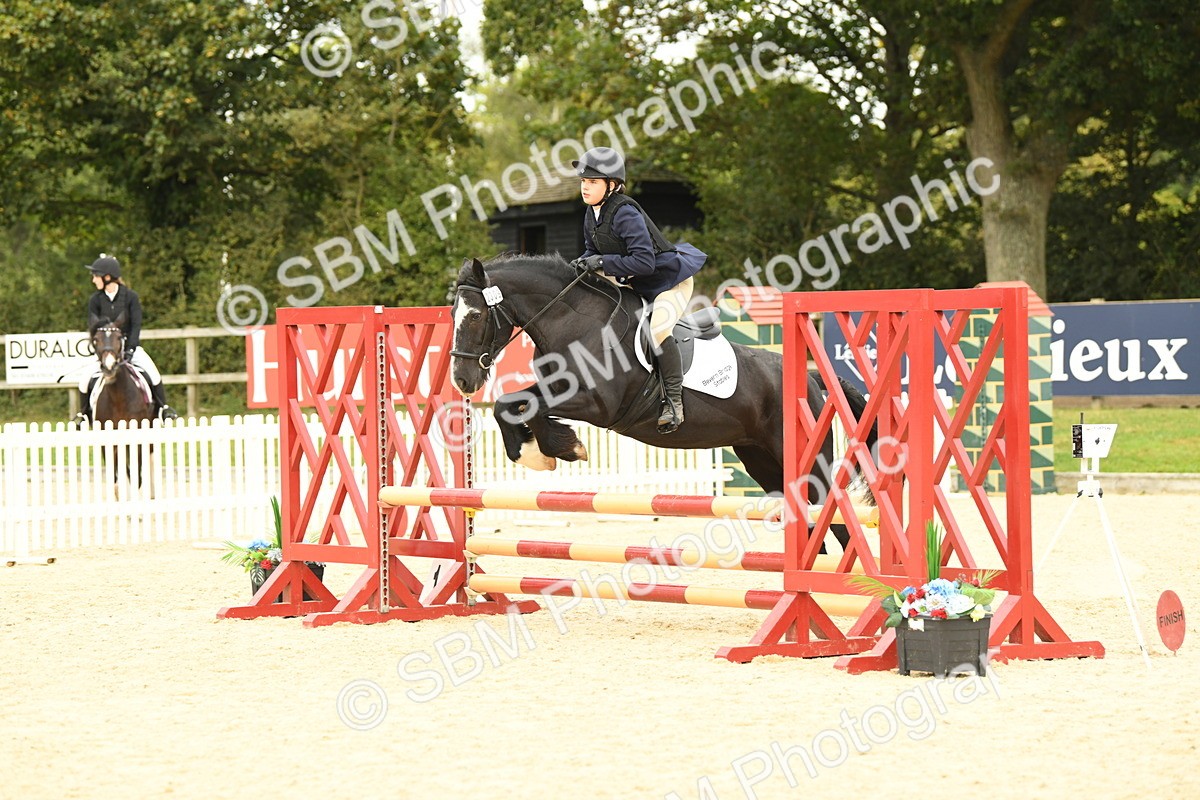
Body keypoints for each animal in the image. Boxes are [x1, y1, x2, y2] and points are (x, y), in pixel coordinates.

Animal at [89, 313, 156, 499]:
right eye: (96, 339)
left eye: (119, 337)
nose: (109, 367)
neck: (118, 397)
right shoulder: (107, 442)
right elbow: (115, 475)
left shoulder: (138, 438)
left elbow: (137, 474)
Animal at [449, 254, 876, 550]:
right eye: (452, 315)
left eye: (475, 317)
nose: (463, 380)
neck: (572, 321)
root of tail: (813, 379)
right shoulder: (556, 389)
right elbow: (510, 404)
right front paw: (536, 451)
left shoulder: (596, 404)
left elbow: (527, 407)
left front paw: (563, 448)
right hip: (763, 461)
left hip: (808, 461)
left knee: (837, 520)